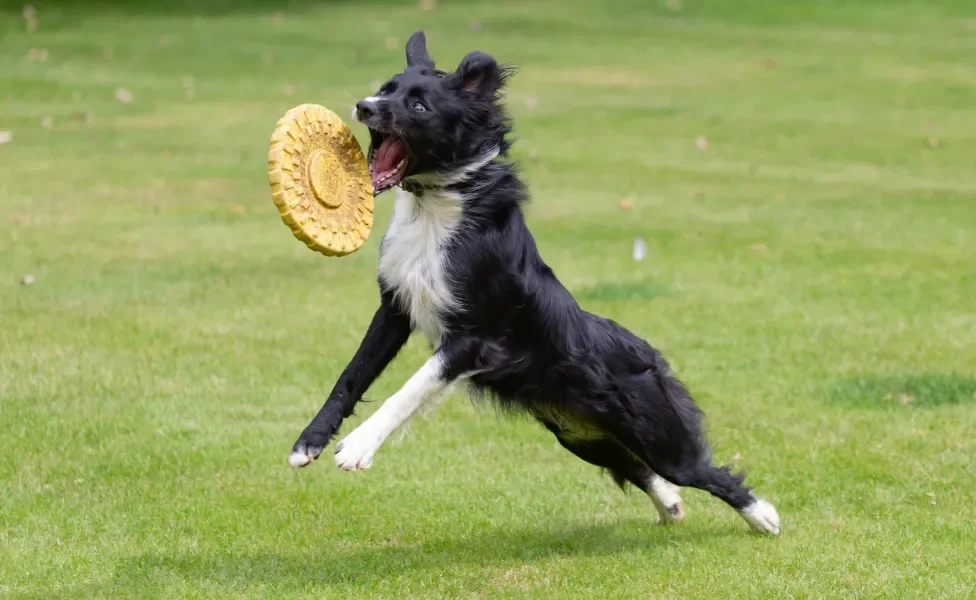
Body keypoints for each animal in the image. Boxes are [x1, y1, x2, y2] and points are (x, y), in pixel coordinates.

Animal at [286, 31, 780, 536]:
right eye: (386, 89)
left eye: (419, 106)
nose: (365, 106)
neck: (437, 205)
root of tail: (649, 356)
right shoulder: (395, 308)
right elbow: (351, 376)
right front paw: (309, 442)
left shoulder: (473, 340)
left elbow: (410, 388)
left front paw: (357, 446)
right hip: (580, 435)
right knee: (638, 467)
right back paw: (671, 505)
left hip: (655, 432)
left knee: (704, 471)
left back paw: (763, 516)